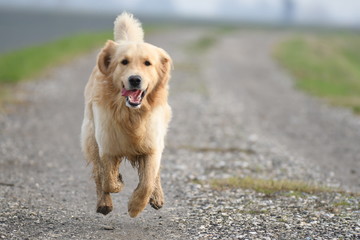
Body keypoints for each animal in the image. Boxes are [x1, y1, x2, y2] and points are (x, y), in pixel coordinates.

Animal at [80, 12, 172, 218]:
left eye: (147, 63)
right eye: (124, 62)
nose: (135, 79)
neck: (131, 116)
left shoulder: (152, 145)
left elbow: (147, 182)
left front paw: (135, 206)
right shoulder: (106, 144)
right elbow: (107, 179)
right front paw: (118, 182)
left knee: (155, 175)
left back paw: (157, 197)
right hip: (90, 136)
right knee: (98, 174)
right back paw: (104, 203)